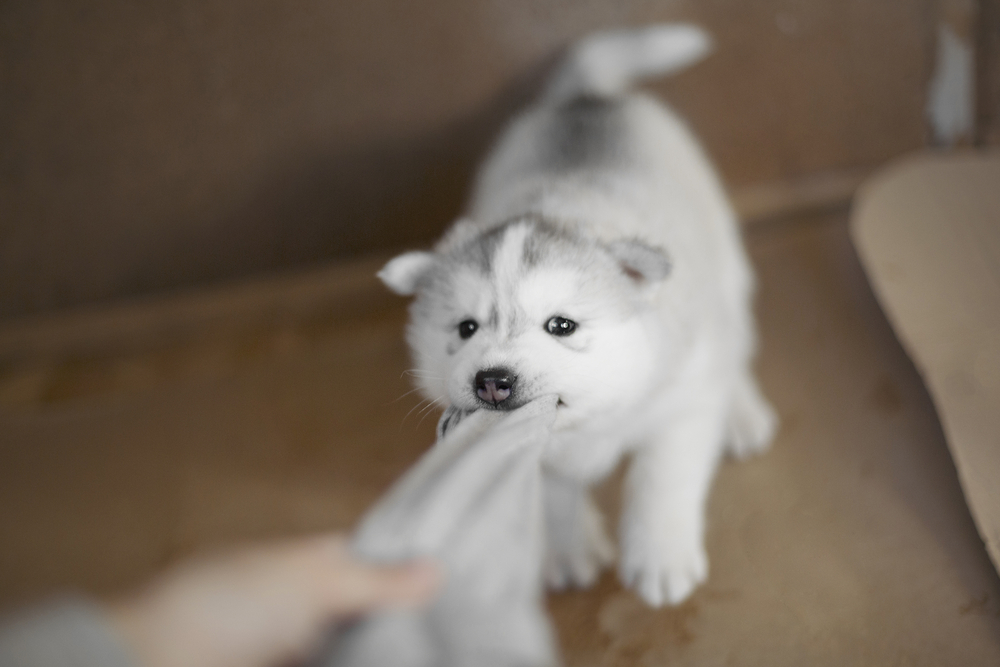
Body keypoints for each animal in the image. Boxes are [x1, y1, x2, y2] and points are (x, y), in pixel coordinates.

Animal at [378, 24, 776, 612]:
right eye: (466, 329)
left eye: (561, 326)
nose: (492, 381)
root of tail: (586, 96)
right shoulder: (526, 450)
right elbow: (554, 492)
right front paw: (570, 551)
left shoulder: (682, 402)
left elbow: (662, 477)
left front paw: (659, 558)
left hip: (725, 265)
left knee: (736, 339)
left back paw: (743, 412)